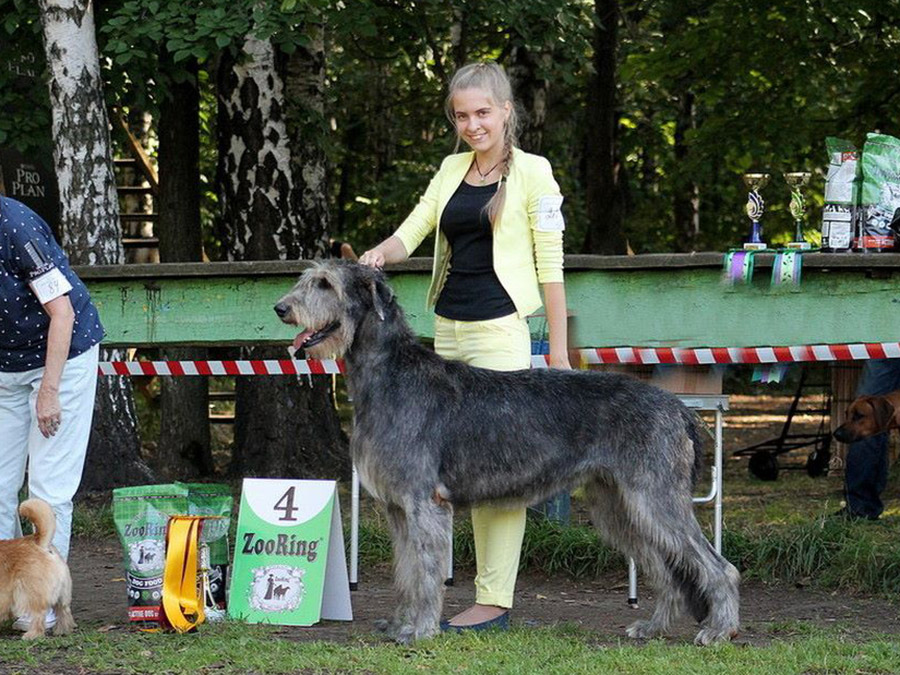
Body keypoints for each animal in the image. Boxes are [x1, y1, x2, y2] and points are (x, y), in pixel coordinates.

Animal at [0, 496, 75, 640]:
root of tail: (38, 542)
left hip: (30, 594)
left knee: (38, 615)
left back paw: (32, 634)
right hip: (63, 594)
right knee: (63, 611)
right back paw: (62, 630)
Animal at [274, 258, 740, 644]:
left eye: (325, 284)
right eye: (306, 279)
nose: (281, 308)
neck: (390, 374)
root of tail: (676, 407)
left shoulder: (423, 502)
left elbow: (425, 571)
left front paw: (420, 629)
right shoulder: (398, 507)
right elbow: (406, 572)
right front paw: (400, 623)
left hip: (655, 498)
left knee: (718, 567)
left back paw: (719, 630)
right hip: (619, 505)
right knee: (666, 570)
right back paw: (652, 626)